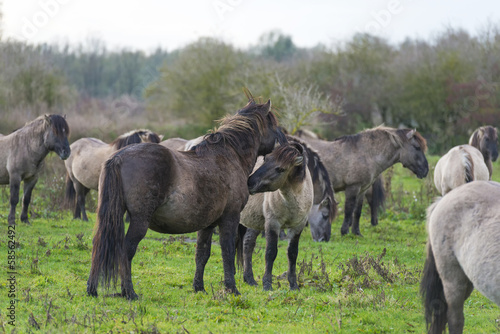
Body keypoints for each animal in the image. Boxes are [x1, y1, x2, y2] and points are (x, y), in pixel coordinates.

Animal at [87, 98, 288, 298]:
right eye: (274, 124)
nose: (286, 143)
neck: (230, 157)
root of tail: (119, 157)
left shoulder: (208, 224)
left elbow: (202, 254)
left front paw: (199, 287)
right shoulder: (229, 218)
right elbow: (227, 252)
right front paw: (232, 289)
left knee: (100, 244)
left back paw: (92, 289)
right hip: (139, 220)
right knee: (126, 249)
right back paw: (129, 292)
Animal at [238, 142, 312, 290]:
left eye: (281, 169)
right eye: (265, 159)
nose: (249, 183)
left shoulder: (298, 226)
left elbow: (292, 253)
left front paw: (293, 285)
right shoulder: (272, 223)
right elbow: (271, 253)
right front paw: (267, 284)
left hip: (255, 222)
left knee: (248, 244)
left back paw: (250, 280)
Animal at [298, 126, 428, 236]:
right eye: (417, 147)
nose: (426, 170)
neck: (366, 154)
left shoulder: (362, 189)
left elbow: (357, 211)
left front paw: (356, 232)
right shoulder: (353, 187)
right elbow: (349, 209)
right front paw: (344, 231)